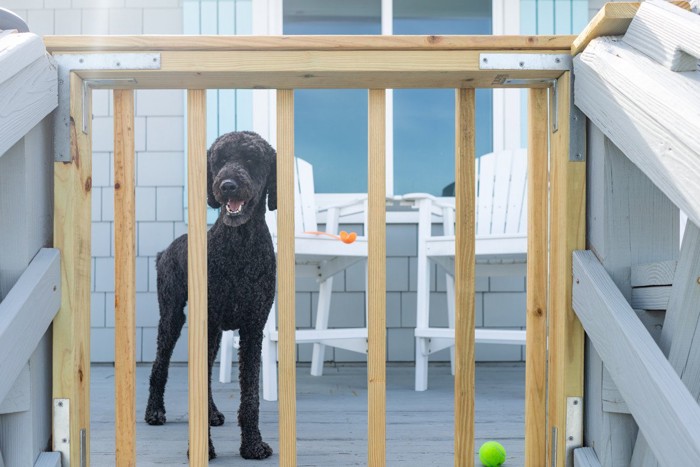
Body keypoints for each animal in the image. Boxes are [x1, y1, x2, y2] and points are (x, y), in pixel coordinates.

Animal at [145, 129, 276, 460]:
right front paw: (202, 449)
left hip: (213, 331)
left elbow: (250, 396)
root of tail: (166, 250)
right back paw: (154, 411)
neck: (239, 246)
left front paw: (253, 445)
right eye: (219, 160)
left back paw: (213, 413)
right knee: (159, 363)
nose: (227, 185)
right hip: (172, 315)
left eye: (252, 159)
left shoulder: (253, 327)